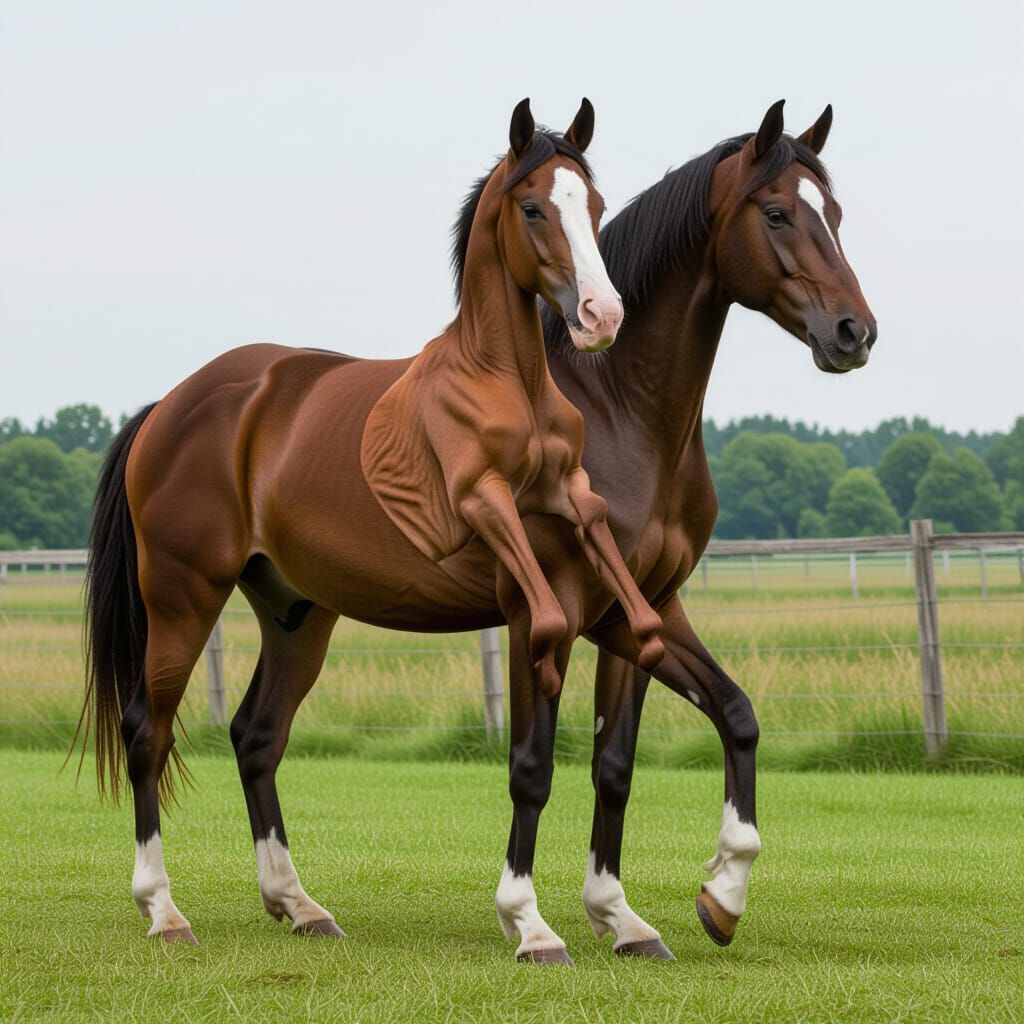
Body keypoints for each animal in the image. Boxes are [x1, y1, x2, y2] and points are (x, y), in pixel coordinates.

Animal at [80, 99, 663, 959]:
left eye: (592, 207)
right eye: (533, 208)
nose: (602, 316)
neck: (506, 380)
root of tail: (168, 405)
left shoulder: (572, 496)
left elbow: (631, 601)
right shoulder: (481, 504)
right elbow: (550, 629)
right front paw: (531, 921)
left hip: (294, 612)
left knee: (256, 734)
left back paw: (299, 904)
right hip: (182, 597)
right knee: (146, 731)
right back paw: (163, 909)